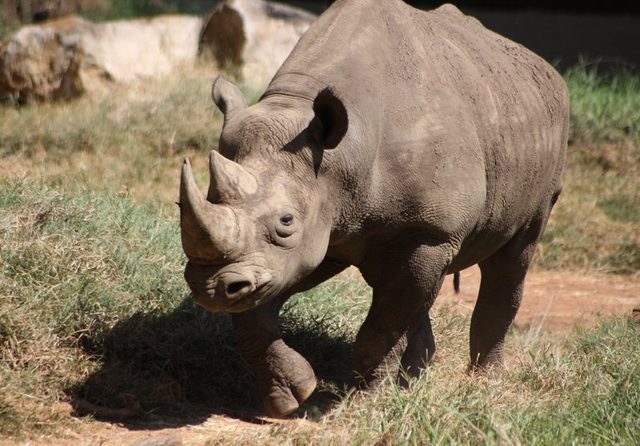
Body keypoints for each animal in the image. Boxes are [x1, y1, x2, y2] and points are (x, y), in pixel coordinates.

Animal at [179, 0, 568, 417]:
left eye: (286, 222)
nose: (208, 288)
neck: (343, 153)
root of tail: (546, 69)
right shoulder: (321, 230)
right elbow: (255, 306)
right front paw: (289, 396)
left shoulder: (427, 231)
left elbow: (383, 327)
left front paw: (366, 405)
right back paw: (415, 382)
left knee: (513, 255)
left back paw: (483, 386)